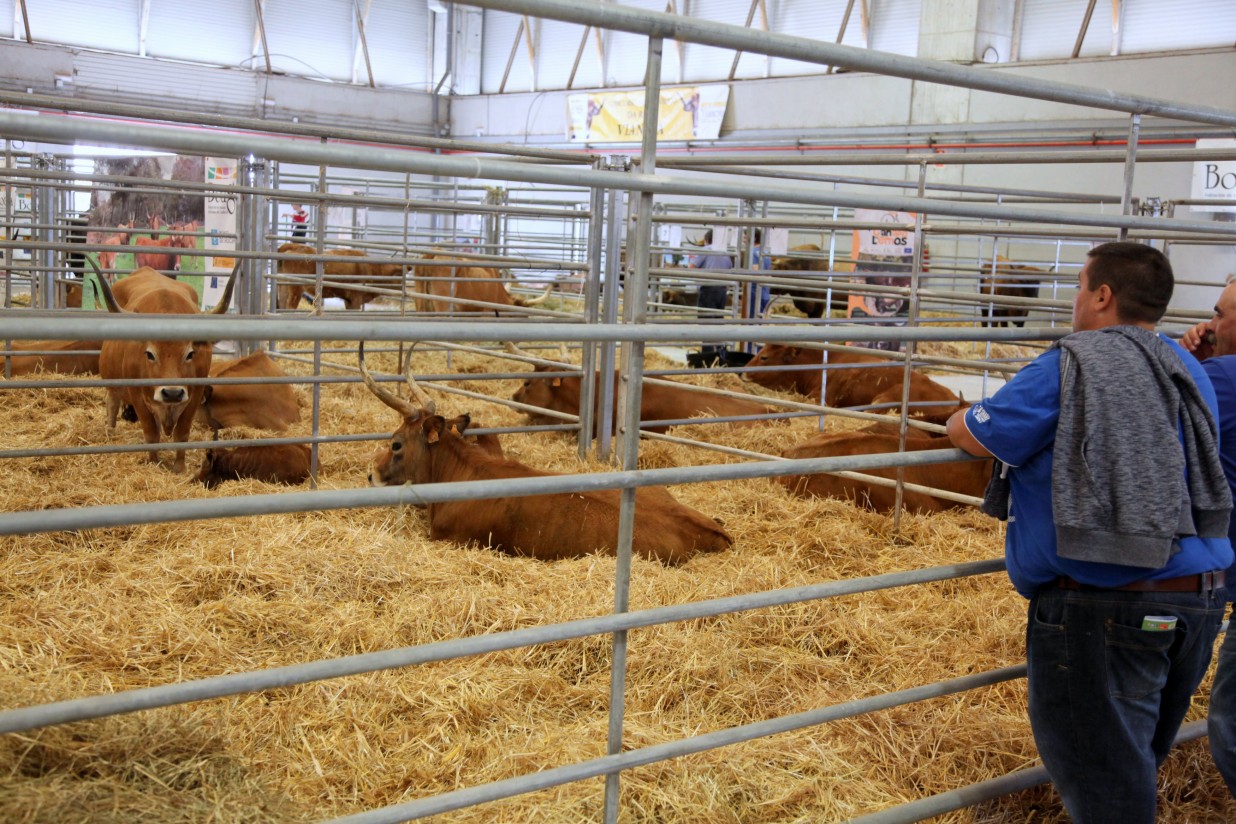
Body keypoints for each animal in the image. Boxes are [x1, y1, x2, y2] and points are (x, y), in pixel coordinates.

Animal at [276, 247, 405, 311]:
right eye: (399, 275)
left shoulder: (348, 300)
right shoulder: (356, 298)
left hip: (283, 286)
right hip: (295, 289)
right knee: (290, 306)